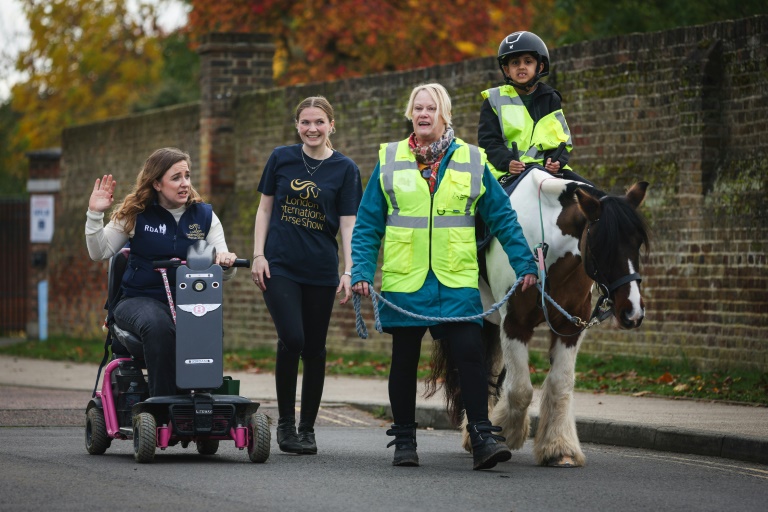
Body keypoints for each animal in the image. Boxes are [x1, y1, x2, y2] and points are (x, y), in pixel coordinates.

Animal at [428, 169, 652, 468]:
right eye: (601, 245)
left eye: (637, 243)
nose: (633, 312)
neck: (543, 246)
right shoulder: (515, 324)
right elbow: (520, 389)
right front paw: (506, 434)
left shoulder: (571, 325)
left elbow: (559, 384)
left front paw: (559, 448)